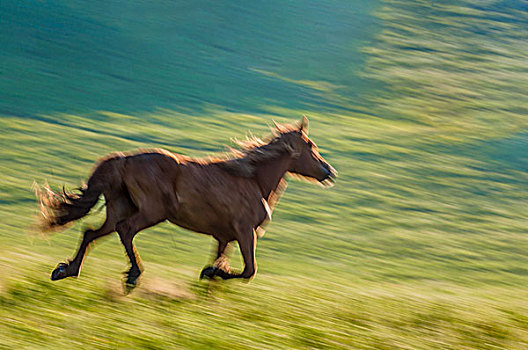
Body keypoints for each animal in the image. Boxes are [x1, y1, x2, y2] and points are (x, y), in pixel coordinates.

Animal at [35, 115, 336, 292]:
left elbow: (223, 261)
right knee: (125, 231)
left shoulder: (224, 236)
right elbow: (249, 270)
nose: (329, 172)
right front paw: (212, 273)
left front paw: (211, 277)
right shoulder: (245, 231)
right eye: (310, 146)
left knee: (91, 233)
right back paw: (133, 276)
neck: (252, 181)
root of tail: (123, 160)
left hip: (120, 208)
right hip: (151, 212)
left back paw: (65, 270)